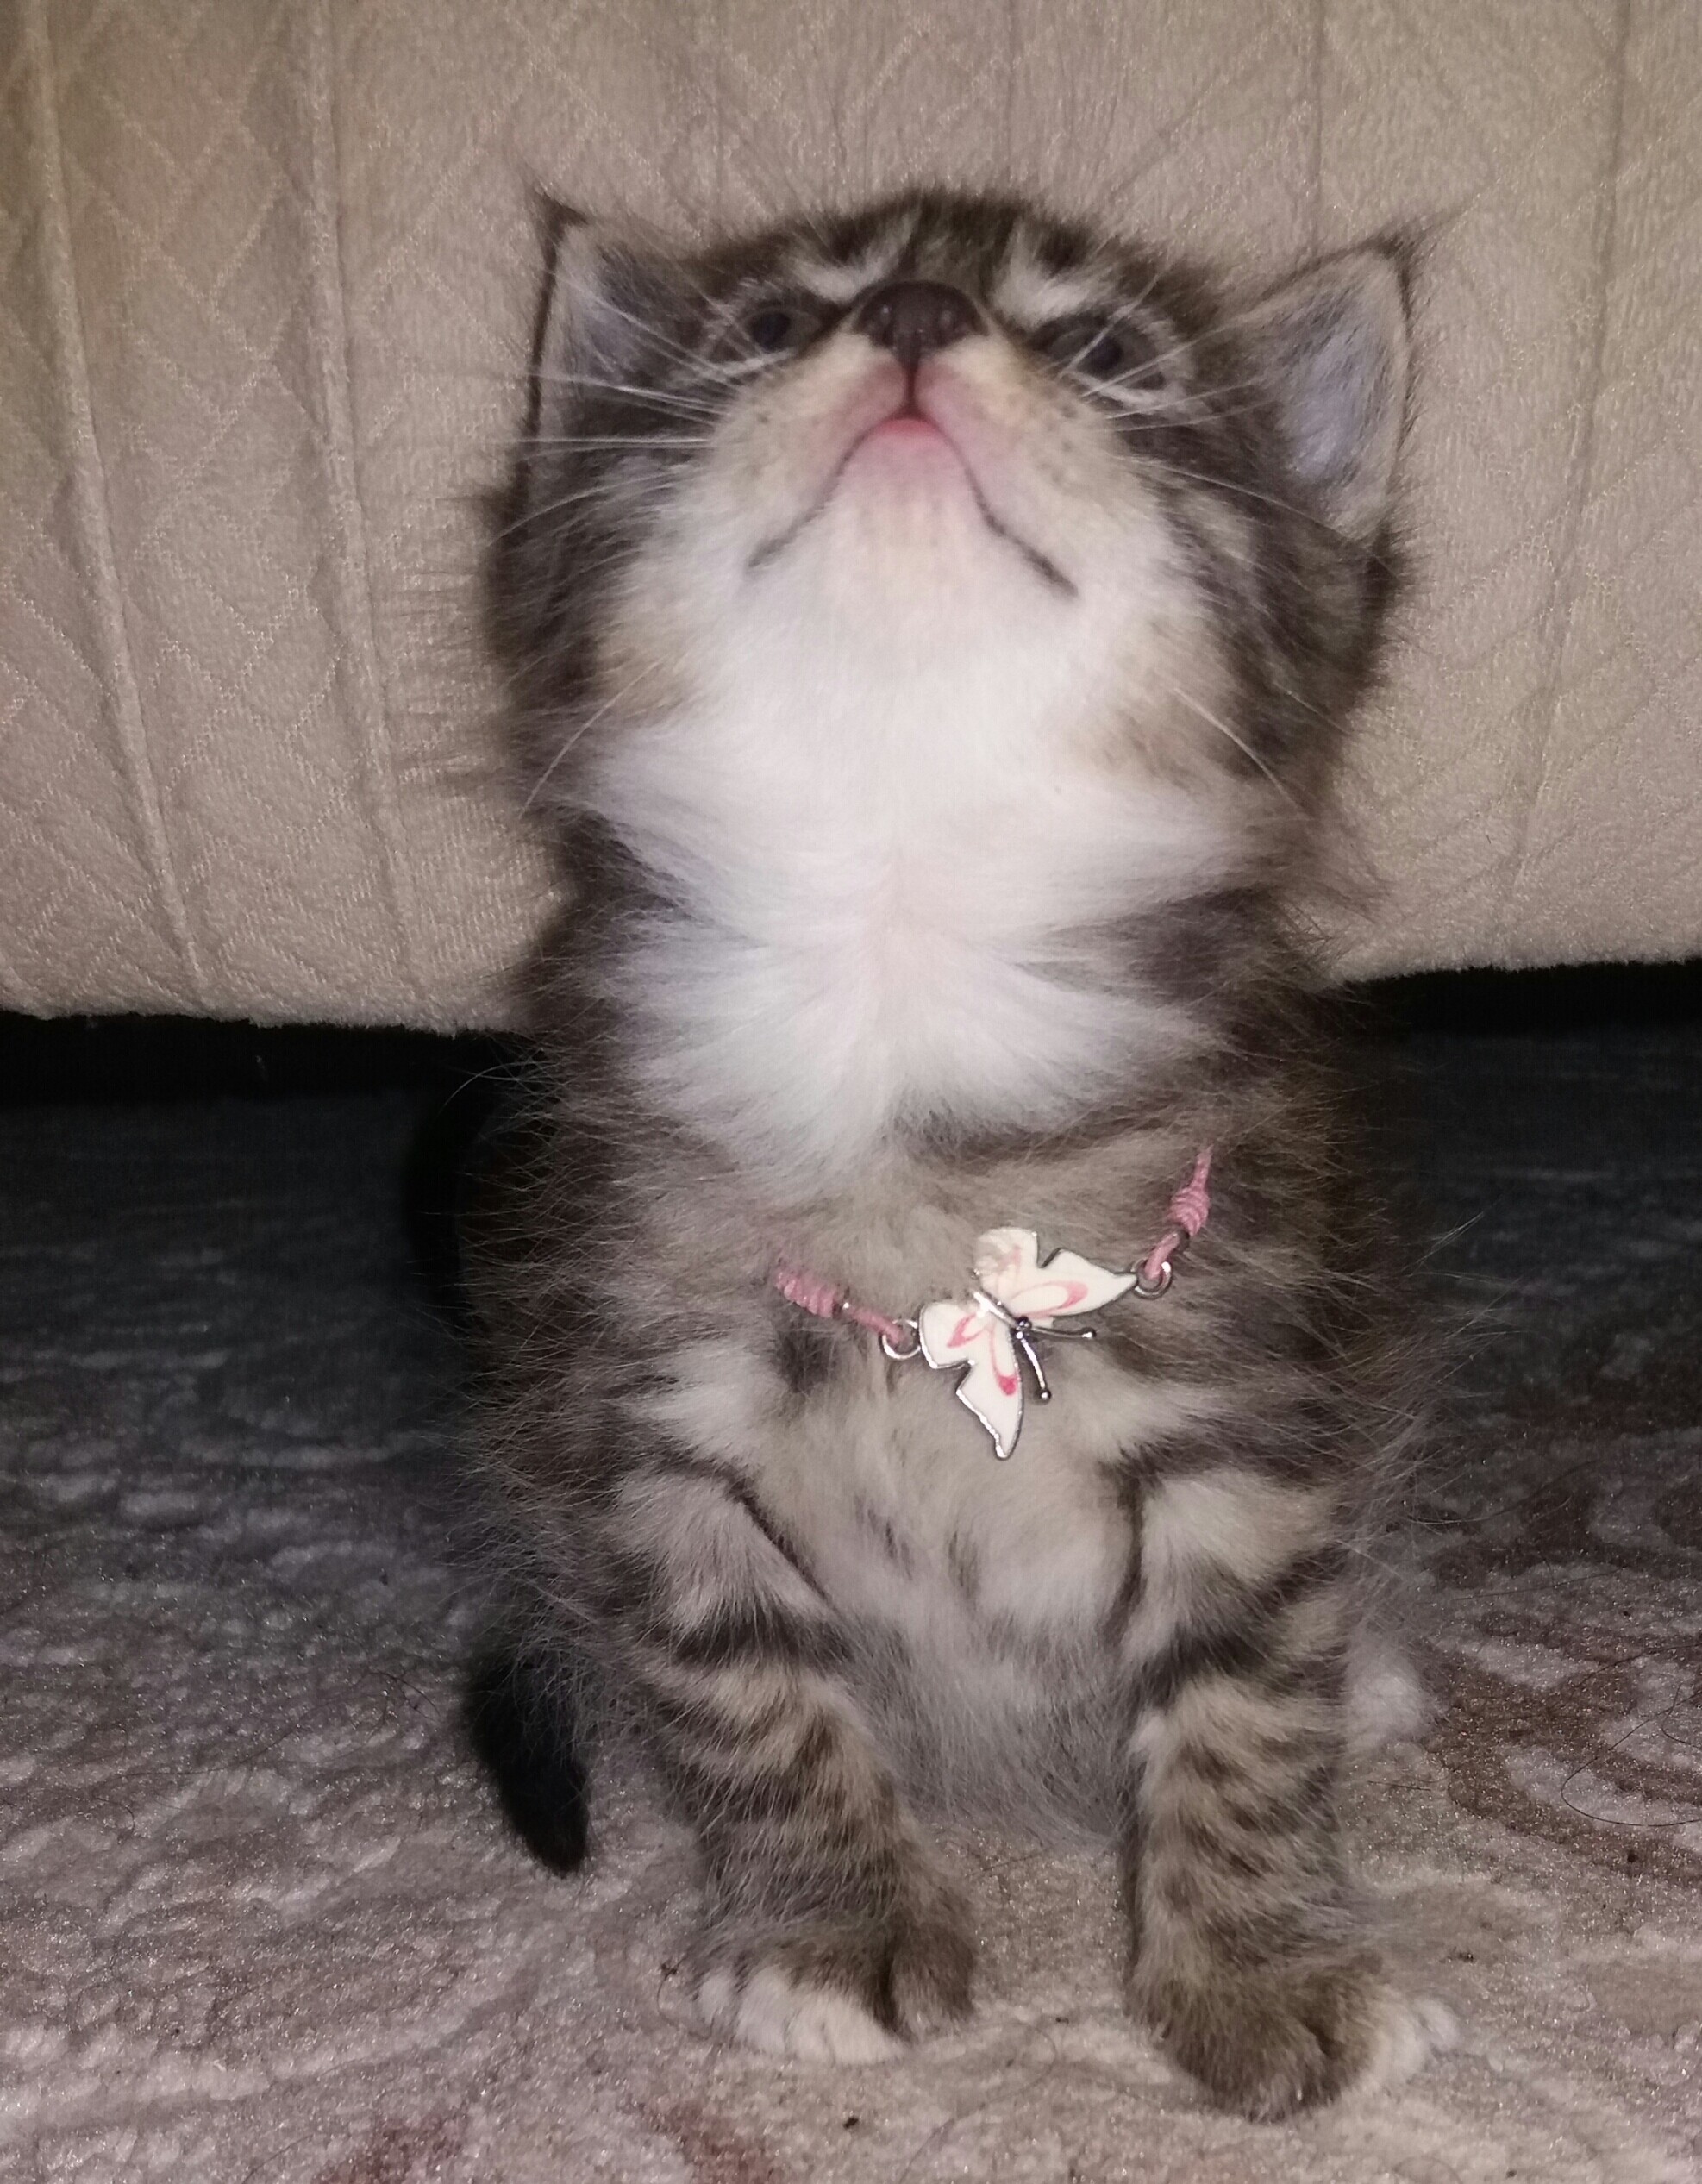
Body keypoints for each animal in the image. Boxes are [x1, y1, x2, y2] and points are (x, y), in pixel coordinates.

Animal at [468, 187, 1445, 2119]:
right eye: (770, 325)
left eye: (1106, 352)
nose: (914, 314)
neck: (897, 954)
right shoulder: (650, 1432)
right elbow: (749, 1695)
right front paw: (827, 1924)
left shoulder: (1248, 1419)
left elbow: (1245, 1703)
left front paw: (1263, 1959)